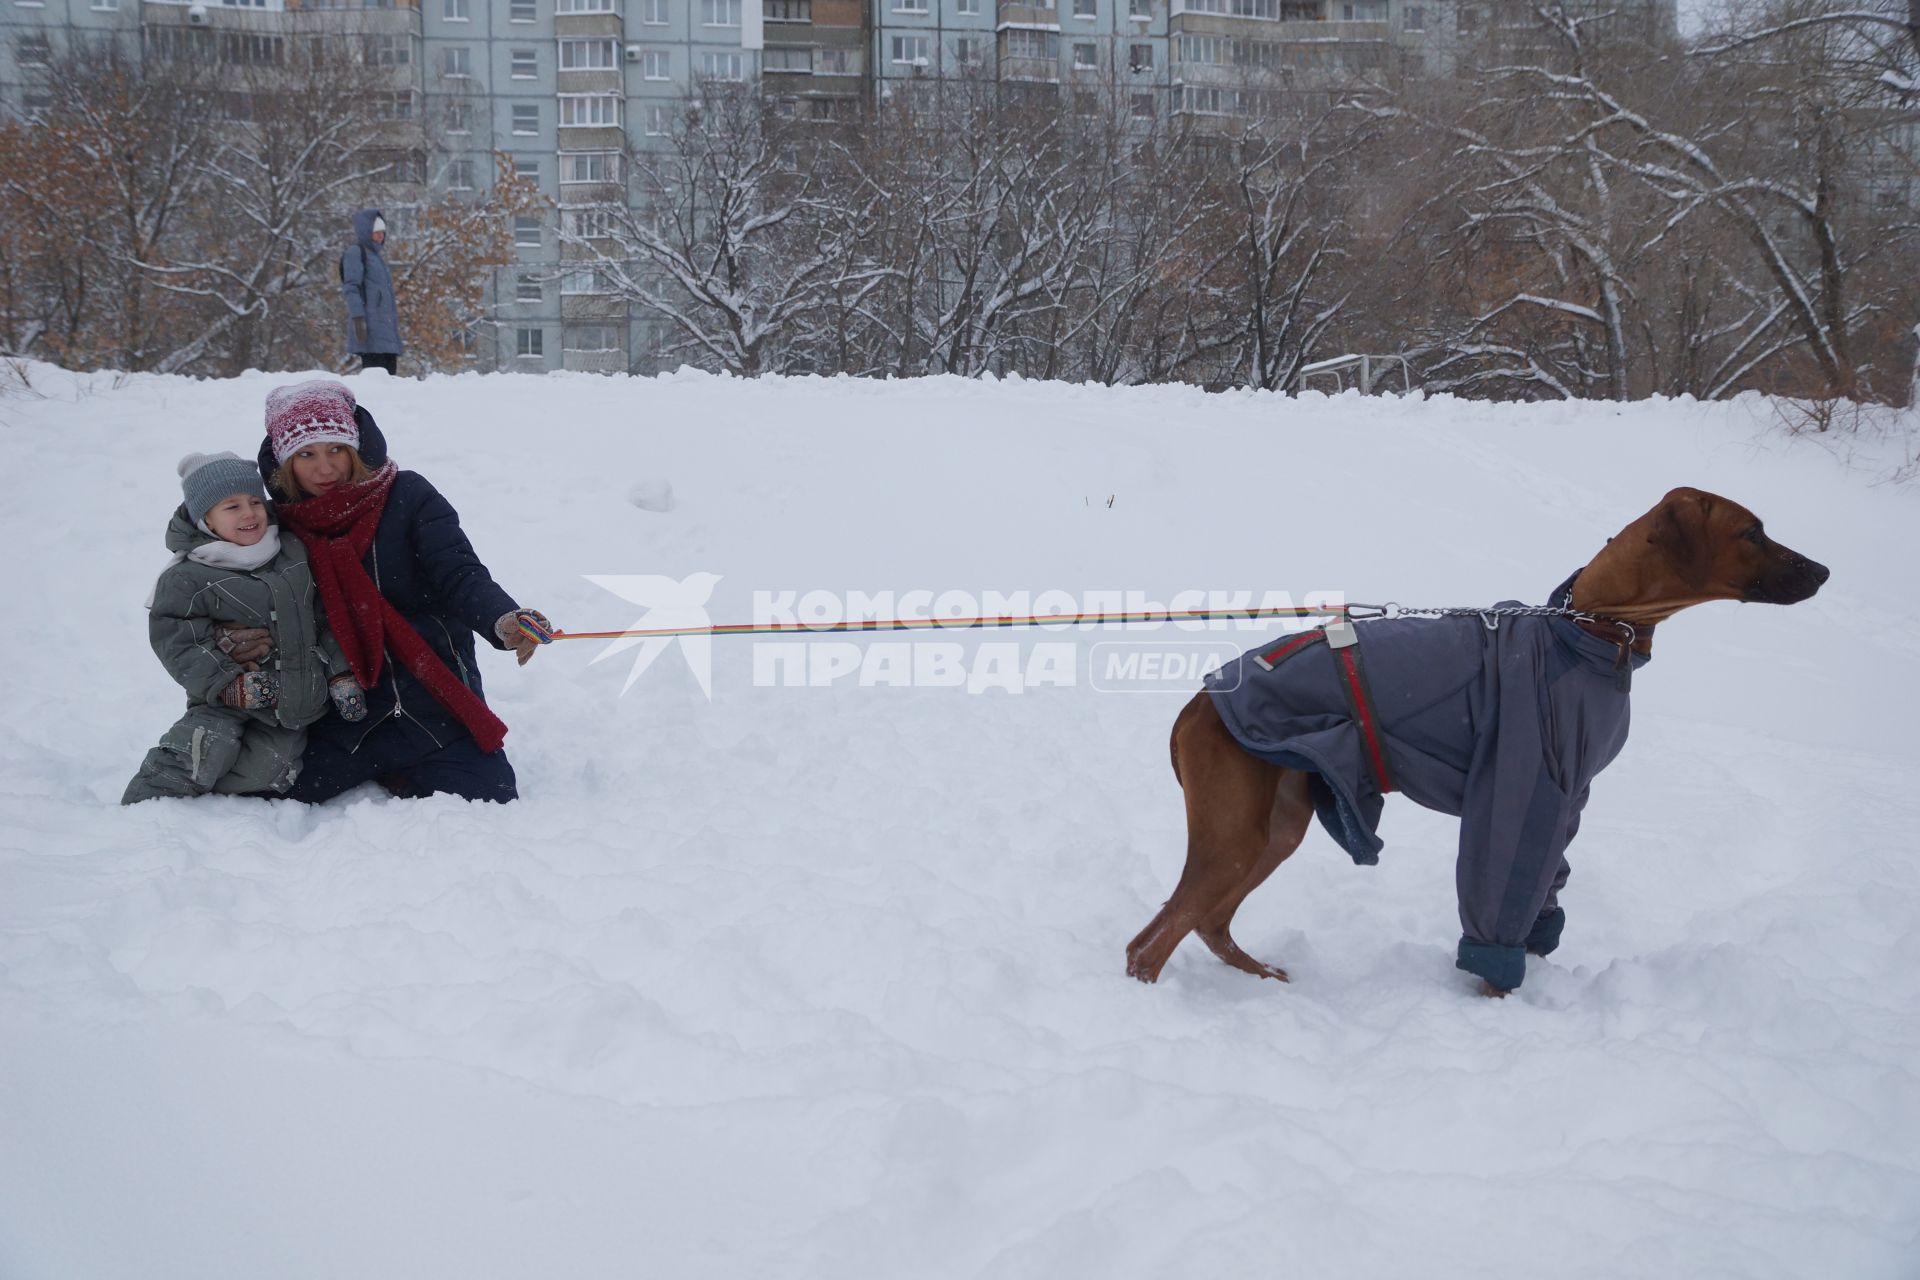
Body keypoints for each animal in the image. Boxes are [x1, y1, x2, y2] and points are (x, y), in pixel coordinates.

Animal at [1121, 485, 1827, 997]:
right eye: (1751, 532)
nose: (1823, 569)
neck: (1588, 629)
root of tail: (1195, 704)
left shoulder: (1568, 802)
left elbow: (1546, 892)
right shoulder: (1521, 789)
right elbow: (1503, 892)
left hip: (1278, 825)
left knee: (1202, 923)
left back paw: (1266, 978)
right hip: (1236, 833)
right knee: (1152, 942)